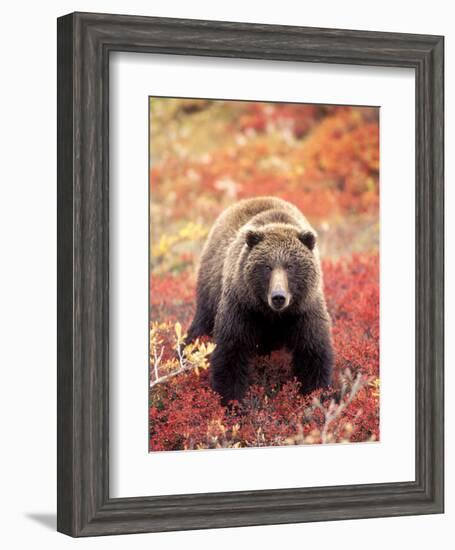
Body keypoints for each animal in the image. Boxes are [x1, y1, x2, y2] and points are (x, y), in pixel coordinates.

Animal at [186, 196, 334, 404]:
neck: (272, 315)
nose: (278, 297)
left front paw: (315, 396)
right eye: (267, 266)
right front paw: (232, 401)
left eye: (290, 266)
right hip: (210, 288)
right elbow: (231, 352)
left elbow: (313, 353)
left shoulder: (304, 310)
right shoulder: (242, 307)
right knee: (201, 326)